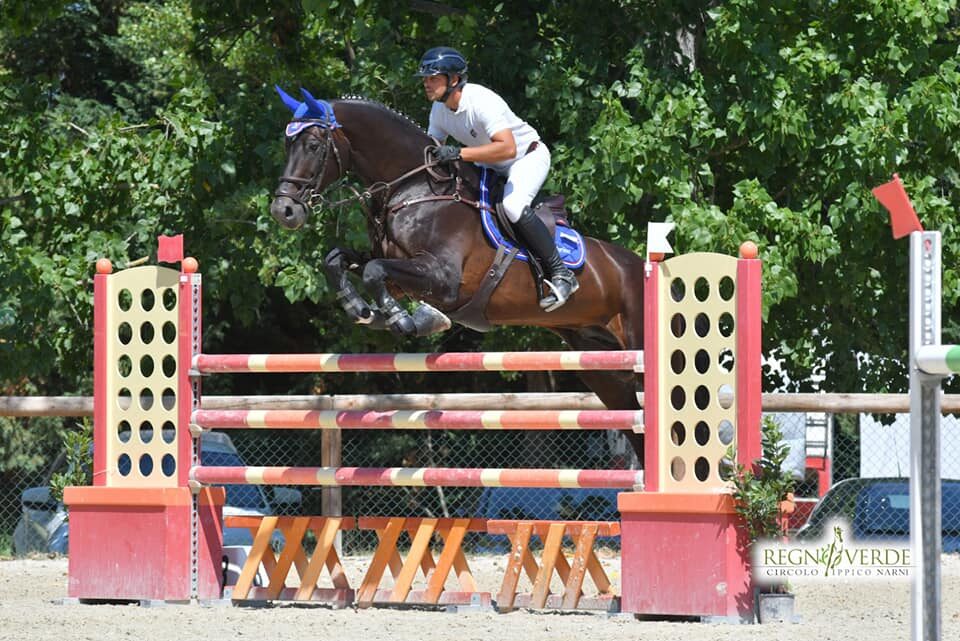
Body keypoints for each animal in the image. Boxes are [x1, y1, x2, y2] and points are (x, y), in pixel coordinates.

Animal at [269, 88, 647, 460]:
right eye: (287, 145)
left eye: (313, 145)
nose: (283, 210)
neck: (414, 189)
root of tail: (639, 264)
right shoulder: (401, 272)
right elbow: (338, 260)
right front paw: (362, 310)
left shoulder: (444, 279)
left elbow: (375, 271)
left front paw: (400, 320)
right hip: (600, 365)